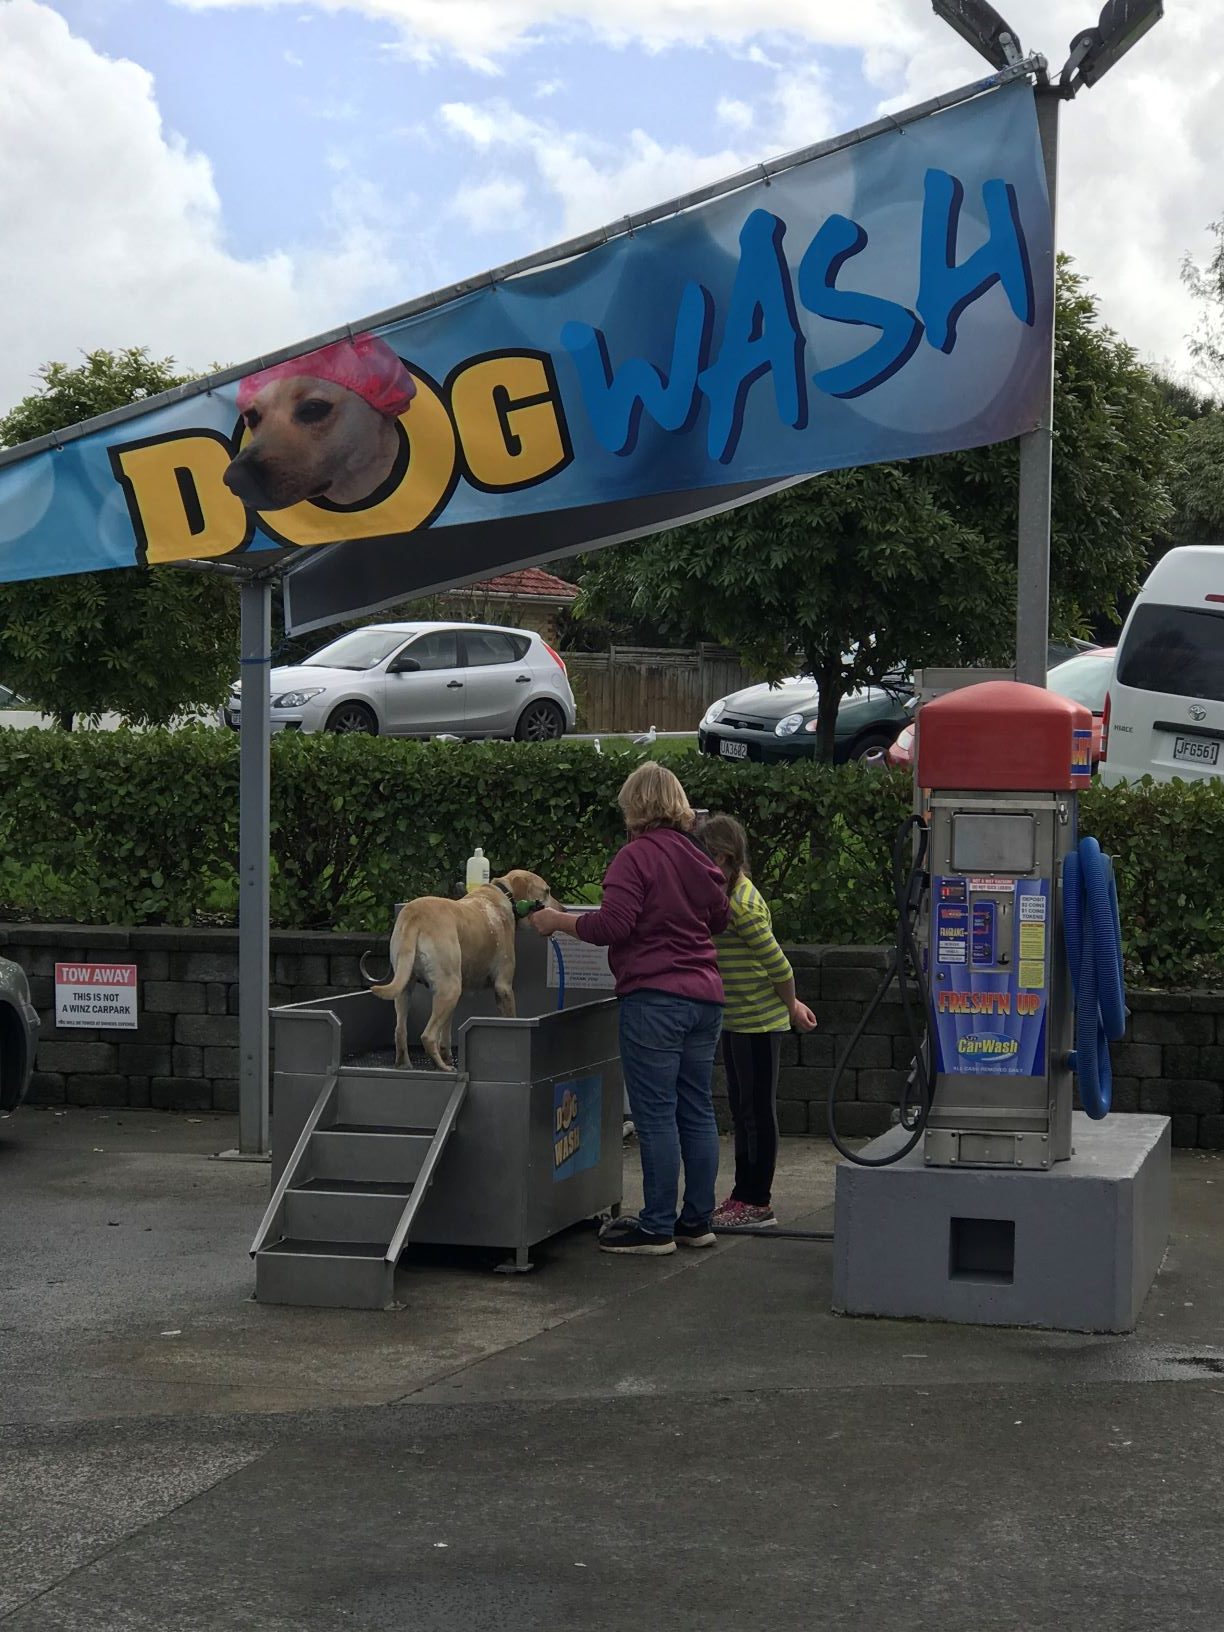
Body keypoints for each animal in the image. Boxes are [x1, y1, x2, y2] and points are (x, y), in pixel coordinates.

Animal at [360, 870, 557, 1072]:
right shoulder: (503, 986)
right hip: (450, 989)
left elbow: (446, 1033)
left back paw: (405, 1065)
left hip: (408, 987)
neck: (503, 894)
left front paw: (447, 1056)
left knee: (400, 1030)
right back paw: (443, 1068)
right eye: (547, 891)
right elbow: (510, 1018)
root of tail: (415, 915)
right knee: (428, 1035)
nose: (563, 910)